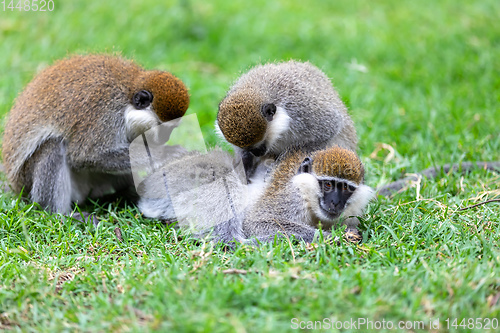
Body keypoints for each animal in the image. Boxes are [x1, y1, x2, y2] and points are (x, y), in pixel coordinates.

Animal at [1, 54, 189, 218]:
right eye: (163, 128)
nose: (165, 139)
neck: (127, 94)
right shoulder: (104, 115)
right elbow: (85, 156)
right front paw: (165, 153)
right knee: (53, 146)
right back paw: (59, 215)